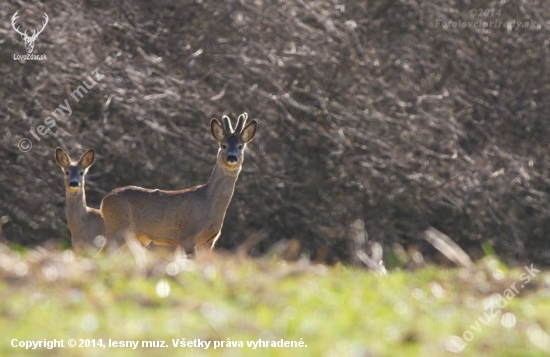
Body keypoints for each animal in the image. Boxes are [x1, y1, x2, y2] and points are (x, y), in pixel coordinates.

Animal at [99, 111, 258, 253]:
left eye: (240, 146)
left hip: (139, 237)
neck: (208, 203)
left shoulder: (210, 240)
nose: (232, 157)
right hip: (118, 228)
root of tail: (104, 201)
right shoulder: (188, 234)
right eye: (223, 145)